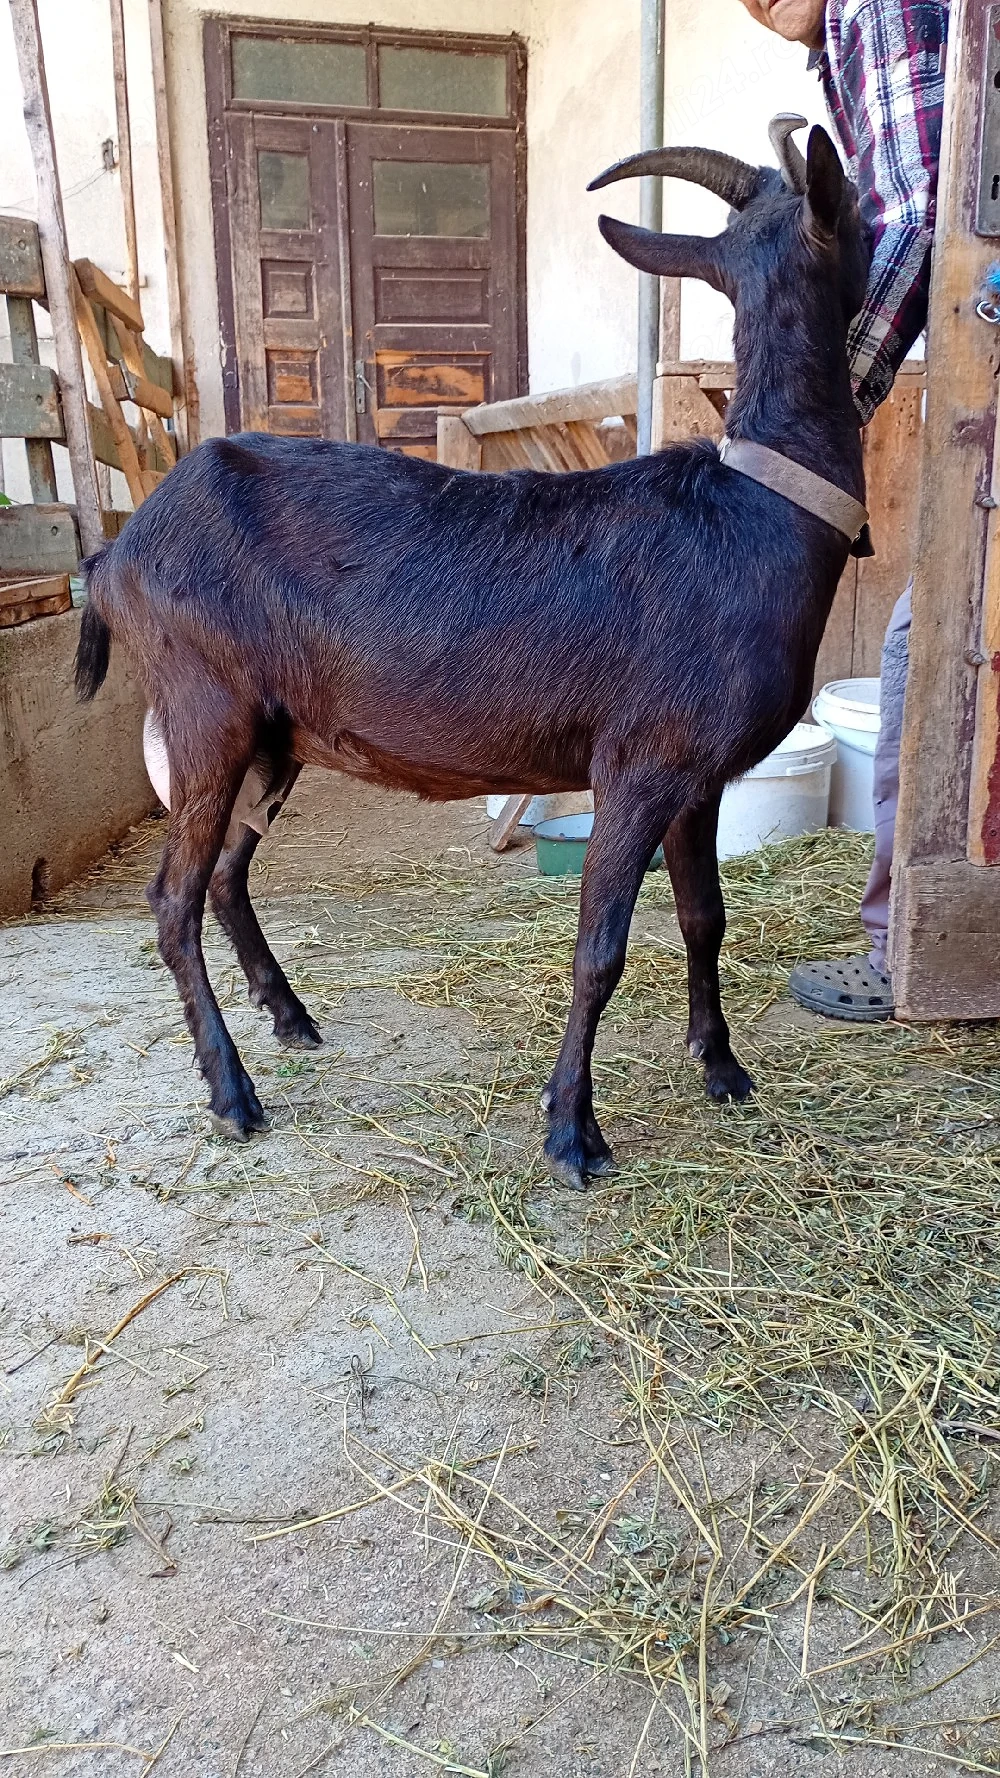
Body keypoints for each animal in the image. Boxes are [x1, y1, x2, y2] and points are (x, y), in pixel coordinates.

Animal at [76, 122, 871, 1190]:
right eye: (859, 213)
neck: (758, 513)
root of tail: (116, 556)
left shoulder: (697, 776)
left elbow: (706, 917)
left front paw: (723, 1068)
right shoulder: (640, 762)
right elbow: (599, 949)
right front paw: (572, 1132)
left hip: (276, 737)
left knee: (229, 875)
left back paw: (290, 1017)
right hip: (206, 707)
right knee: (172, 902)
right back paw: (234, 1097)